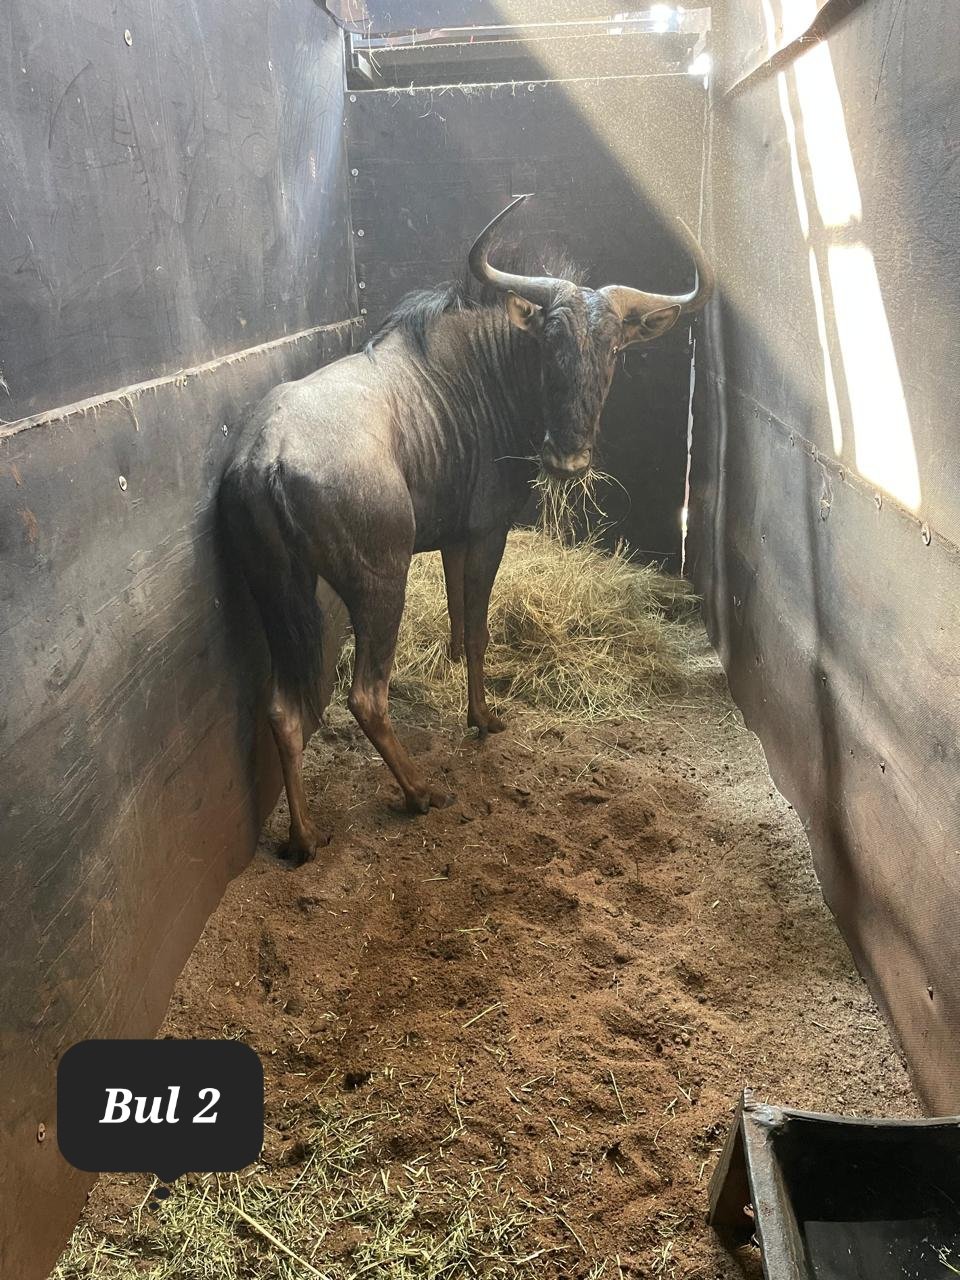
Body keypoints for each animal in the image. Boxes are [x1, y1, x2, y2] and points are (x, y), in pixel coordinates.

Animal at [219, 196, 713, 864]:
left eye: (613, 348)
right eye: (550, 342)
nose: (568, 461)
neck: (489, 370)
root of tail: (266, 455)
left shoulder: (453, 540)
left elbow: (457, 623)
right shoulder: (485, 533)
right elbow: (477, 631)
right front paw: (483, 719)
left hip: (283, 597)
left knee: (282, 709)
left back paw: (305, 837)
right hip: (380, 584)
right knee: (366, 696)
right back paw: (420, 792)